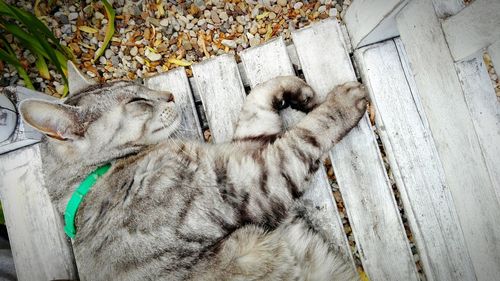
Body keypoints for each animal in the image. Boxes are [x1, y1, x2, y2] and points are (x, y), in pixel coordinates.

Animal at [19, 63, 366, 280]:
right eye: (137, 101)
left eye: (138, 84)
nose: (170, 95)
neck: (97, 176)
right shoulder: (249, 181)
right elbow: (305, 134)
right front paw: (342, 103)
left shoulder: (240, 158)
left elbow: (256, 103)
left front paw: (291, 89)